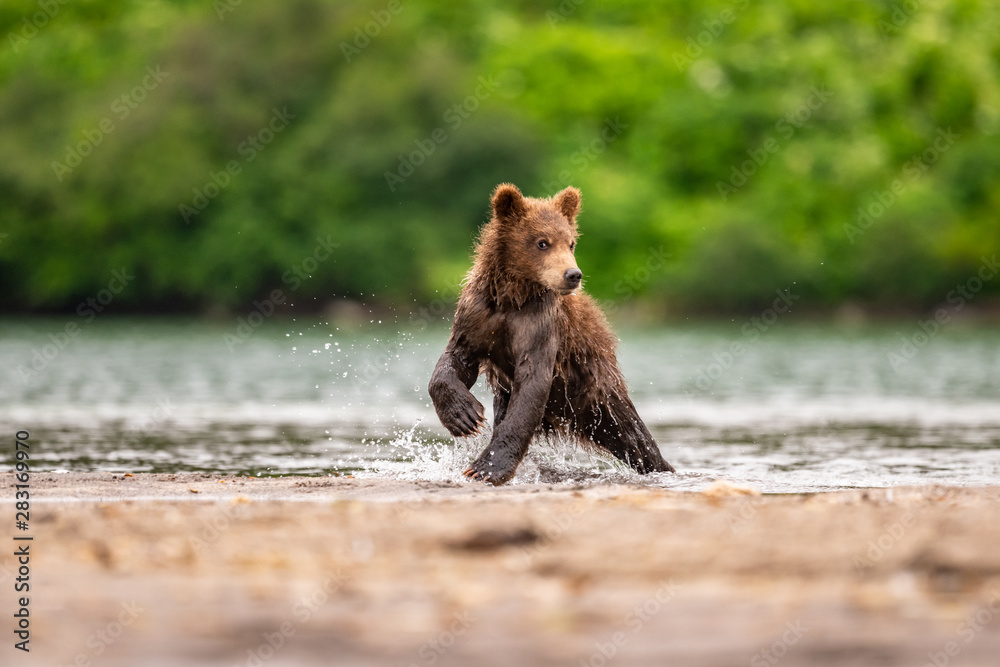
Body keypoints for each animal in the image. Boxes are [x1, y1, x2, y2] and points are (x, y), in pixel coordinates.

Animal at [428, 183, 675, 485]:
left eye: (571, 243)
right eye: (542, 242)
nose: (573, 274)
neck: (513, 296)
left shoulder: (540, 327)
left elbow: (531, 386)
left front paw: (486, 467)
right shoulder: (478, 315)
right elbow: (455, 361)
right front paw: (464, 417)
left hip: (596, 393)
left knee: (634, 438)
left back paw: (662, 466)